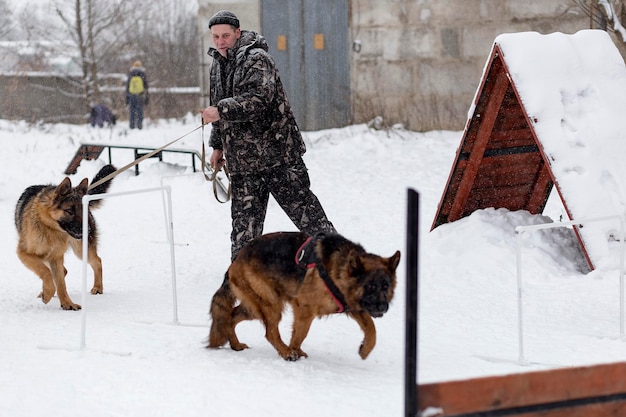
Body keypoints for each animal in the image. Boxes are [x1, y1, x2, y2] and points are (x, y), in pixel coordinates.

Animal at [15, 164, 116, 310]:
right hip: (47, 256)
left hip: (80, 250)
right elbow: (46, 272)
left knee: (97, 261)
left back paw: (97, 287)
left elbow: (61, 283)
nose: (88, 230)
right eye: (70, 211)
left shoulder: (55, 257)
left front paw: (67, 303)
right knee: (62, 271)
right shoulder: (25, 253)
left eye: (82, 211)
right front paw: (50, 294)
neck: (50, 227)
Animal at [206, 232, 400, 360]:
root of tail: (236, 260)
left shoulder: (353, 306)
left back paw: (236, 345)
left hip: (256, 307)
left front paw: (365, 349)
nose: (383, 307)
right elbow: (300, 333)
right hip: (271, 305)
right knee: (270, 332)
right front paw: (294, 350)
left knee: (230, 317)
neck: (338, 271)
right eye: (370, 286)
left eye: (385, 286)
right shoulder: (304, 309)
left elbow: (371, 328)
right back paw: (285, 352)